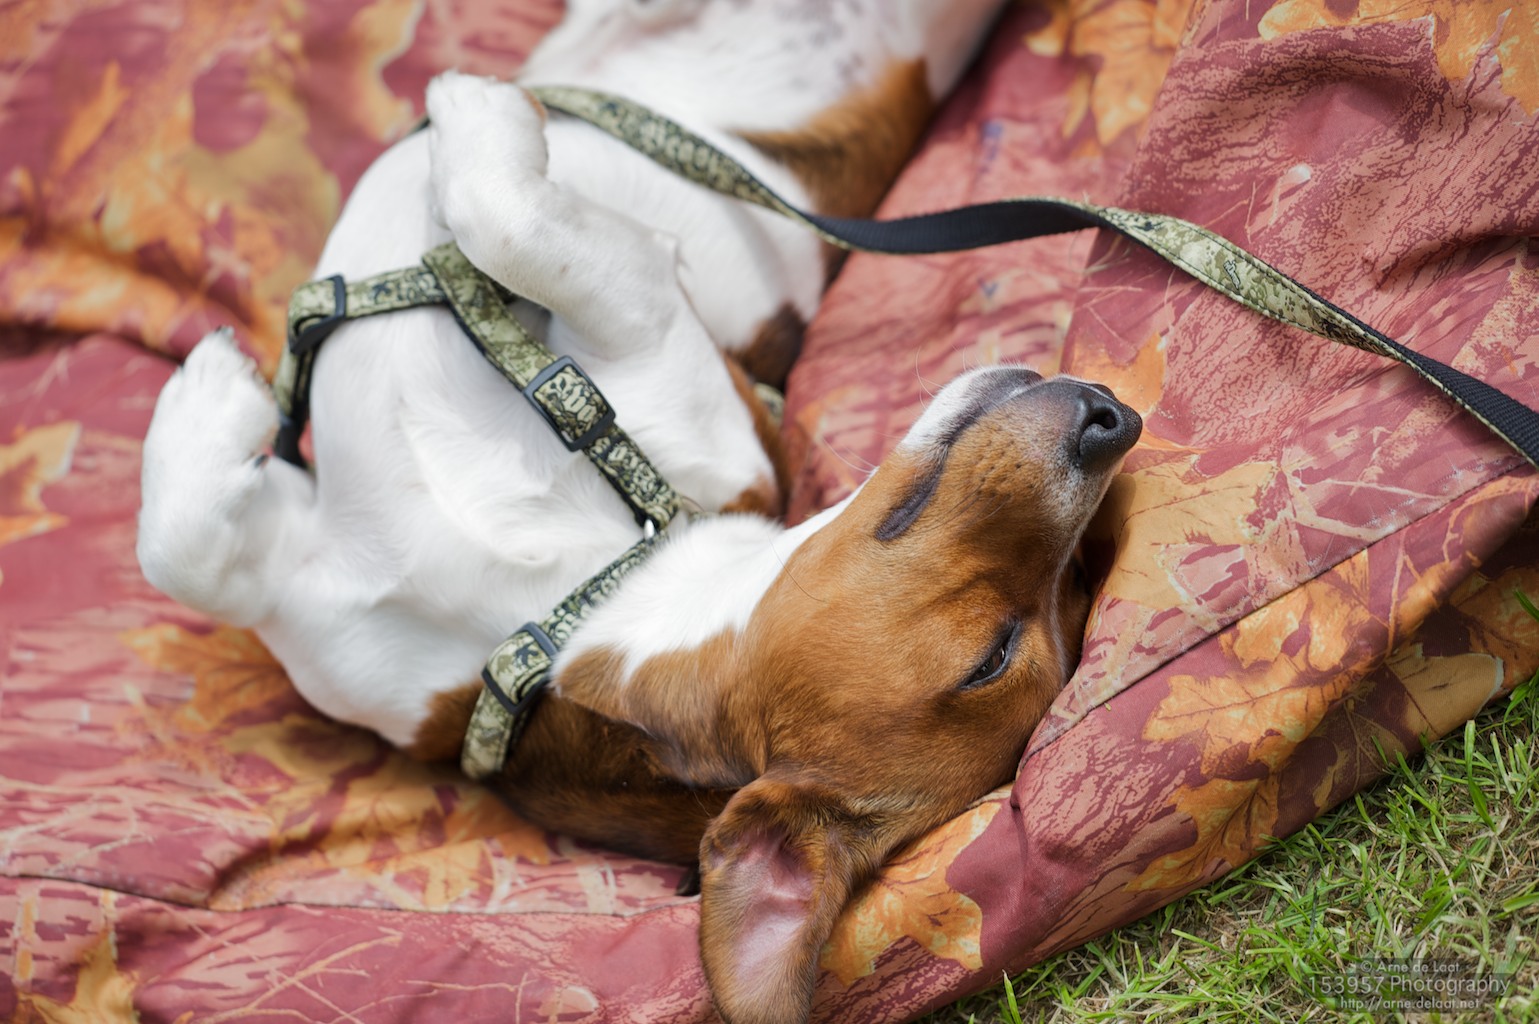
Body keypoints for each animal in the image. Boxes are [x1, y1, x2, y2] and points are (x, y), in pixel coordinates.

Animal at [136, 2, 1142, 1022]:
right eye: (1071, 585)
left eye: (998, 654)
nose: (1115, 419)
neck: (555, 604)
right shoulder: (324, 613)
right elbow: (185, 557)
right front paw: (219, 399)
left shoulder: (649, 318)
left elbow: (508, 220)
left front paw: (473, 110)